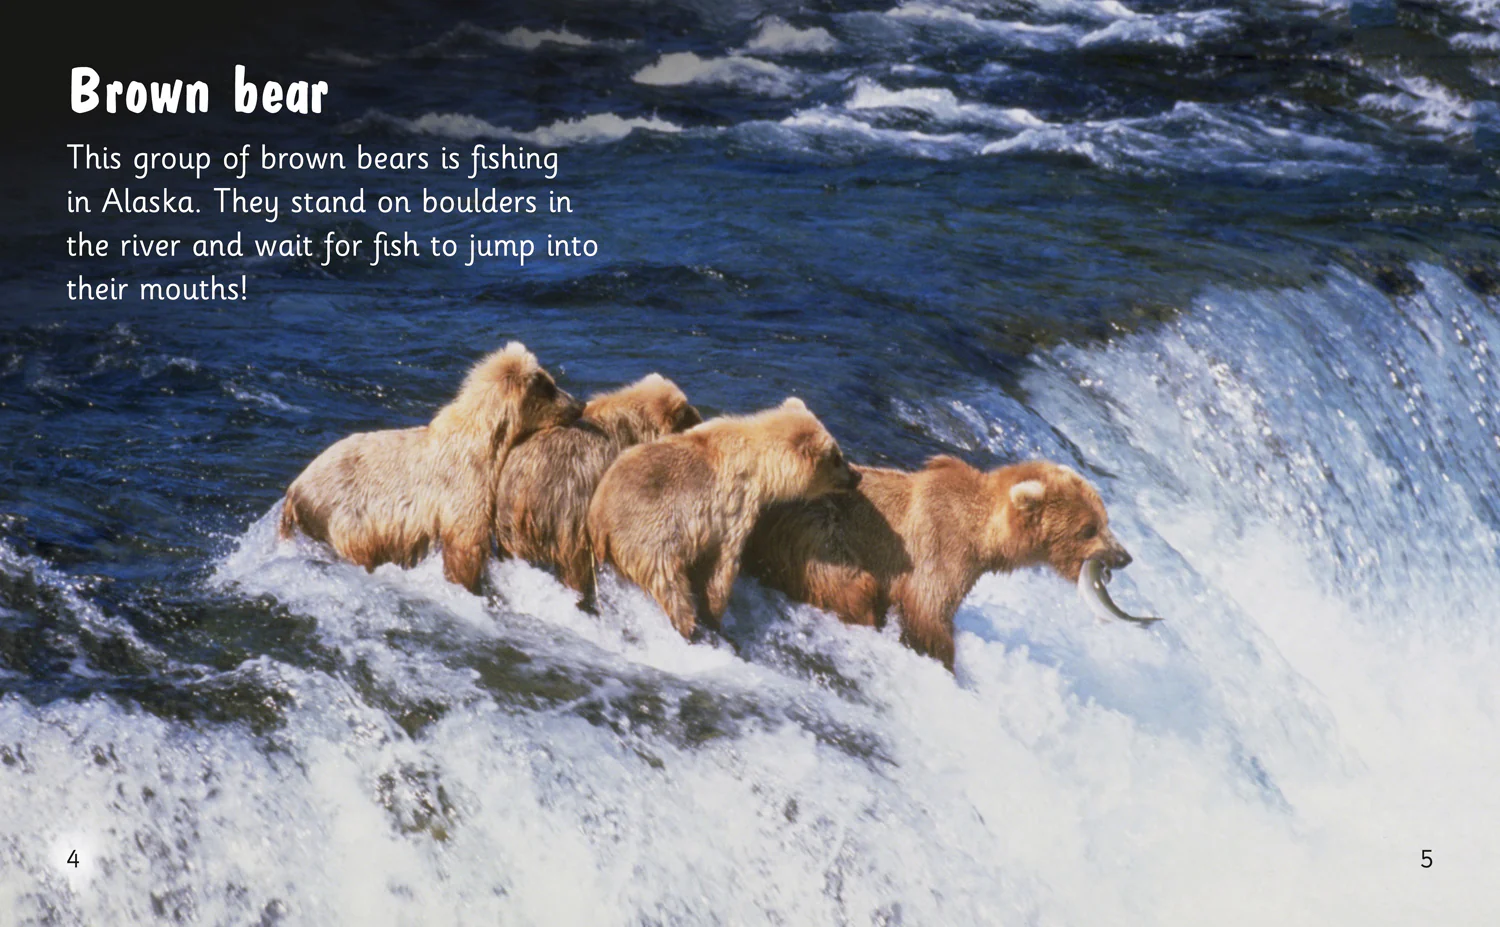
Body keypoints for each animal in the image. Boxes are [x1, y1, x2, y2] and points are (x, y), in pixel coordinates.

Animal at [279, 342, 583, 593]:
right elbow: (465, 542)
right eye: (550, 387)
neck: (489, 440)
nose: (578, 404)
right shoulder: (465, 482)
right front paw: (471, 583)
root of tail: (293, 488)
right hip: (343, 514)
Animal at [586, 397, 861, 640]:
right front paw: (715, 615)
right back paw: (688, 624)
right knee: (668, 580)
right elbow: (722, 565)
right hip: (648, 535)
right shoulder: (734, 506)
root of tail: (598, 517)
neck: (760, 466)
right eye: (837, 458)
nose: (857, 476)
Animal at [743, 457, 1133, 670]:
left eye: (1105, 519)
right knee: (852, 587)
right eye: (1088, 528)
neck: (982, 536)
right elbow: (928, 610)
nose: (1124, 556)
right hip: (819, 531)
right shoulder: (939, 548)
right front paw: (944, 659)